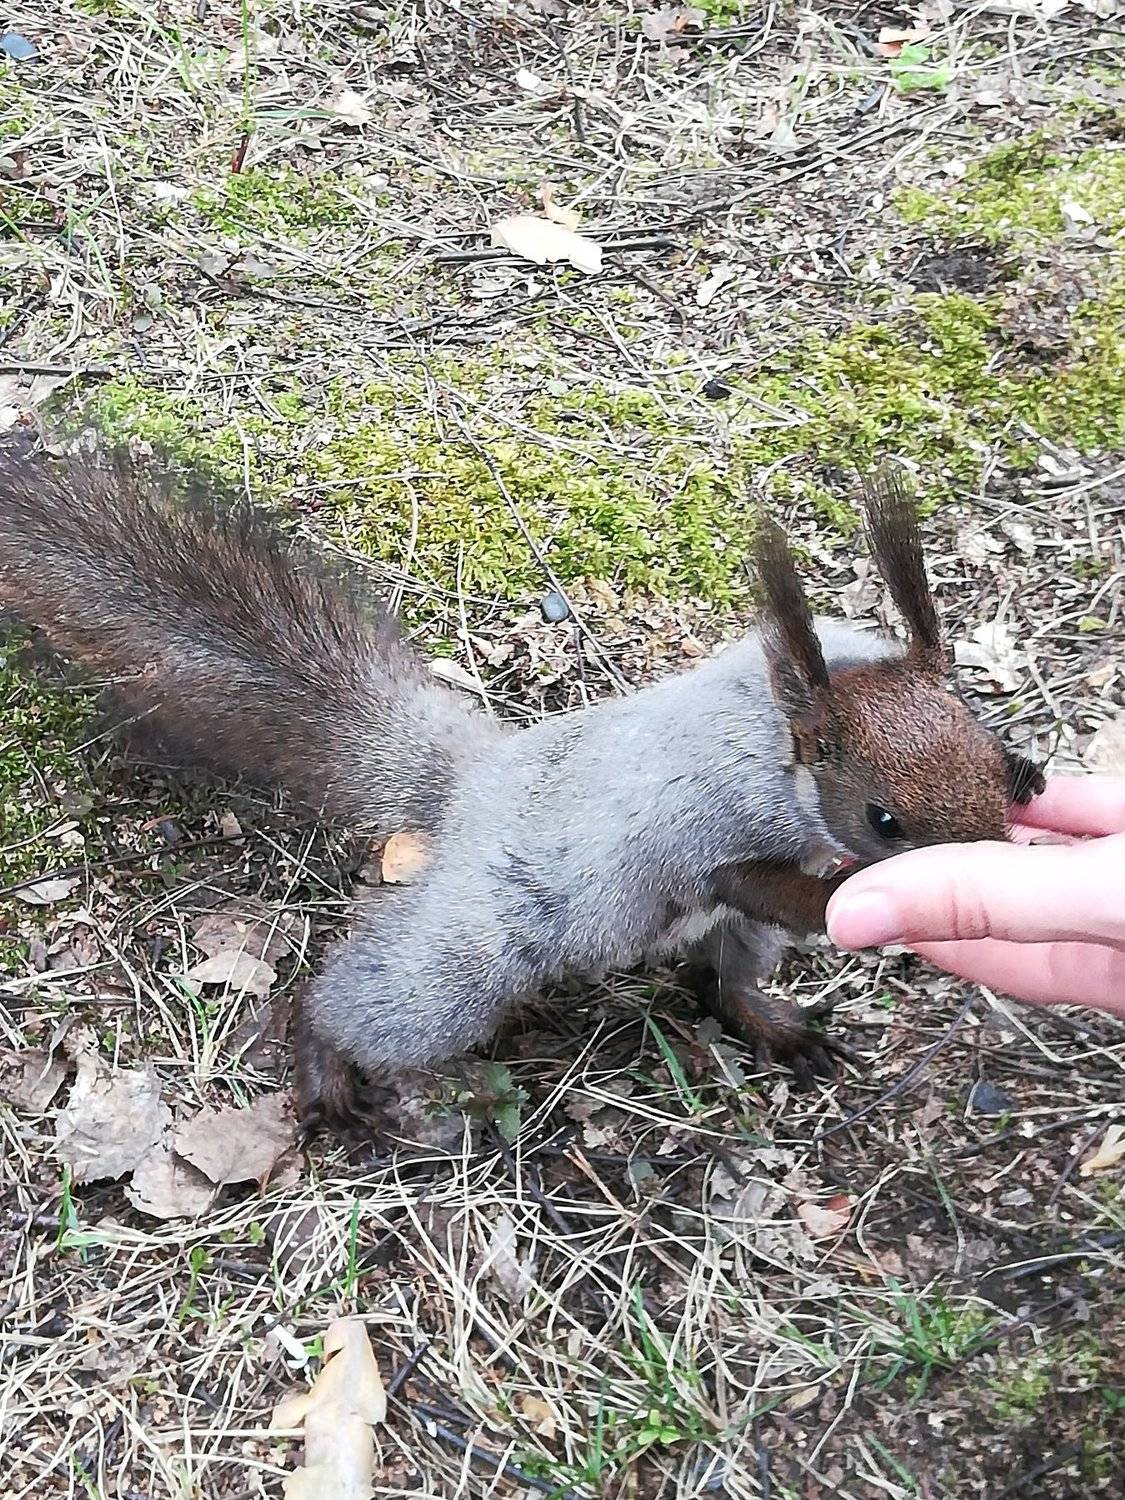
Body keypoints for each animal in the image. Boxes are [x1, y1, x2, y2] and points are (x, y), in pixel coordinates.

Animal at [0, 435, 1045, 1129]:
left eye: (985, 746)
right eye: (883, 818)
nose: (992, 852)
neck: (780, 735)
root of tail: (471, 785)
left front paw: (1031, 774)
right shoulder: (703, 824)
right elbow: (750, 877)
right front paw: (850, 898)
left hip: (716, 946)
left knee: (715, 981)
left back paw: (773, 1023)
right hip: (469, 957)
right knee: (357, 999)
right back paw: (326, 1070)